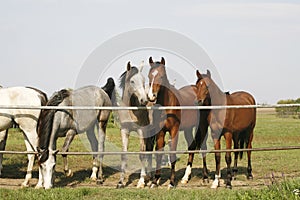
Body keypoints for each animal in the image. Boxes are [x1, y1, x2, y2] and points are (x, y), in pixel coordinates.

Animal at [116, 61, 155, 189]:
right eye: (132, 81)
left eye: (143, 80)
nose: (144, 100)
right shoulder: (124, 131)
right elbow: (124, 155)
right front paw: (120, 182)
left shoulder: (141, 131)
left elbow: (142, 154)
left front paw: (141, 182)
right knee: (149, 151)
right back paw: (149, 176)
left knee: (149, 151)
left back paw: (150, 178)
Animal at [147, 56, 209, 189]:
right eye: (149, 76)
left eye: (161, 76)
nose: (151, 96)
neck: (167, 105)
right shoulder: (160, 132)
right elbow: (159, 153)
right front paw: (155, 181)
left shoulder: (174, 130)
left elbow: (172, 154)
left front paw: (171, 182)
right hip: (188, 129)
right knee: (192, 147)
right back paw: (185, 178)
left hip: (202, 127)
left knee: (203, 148)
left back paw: (205, 177)